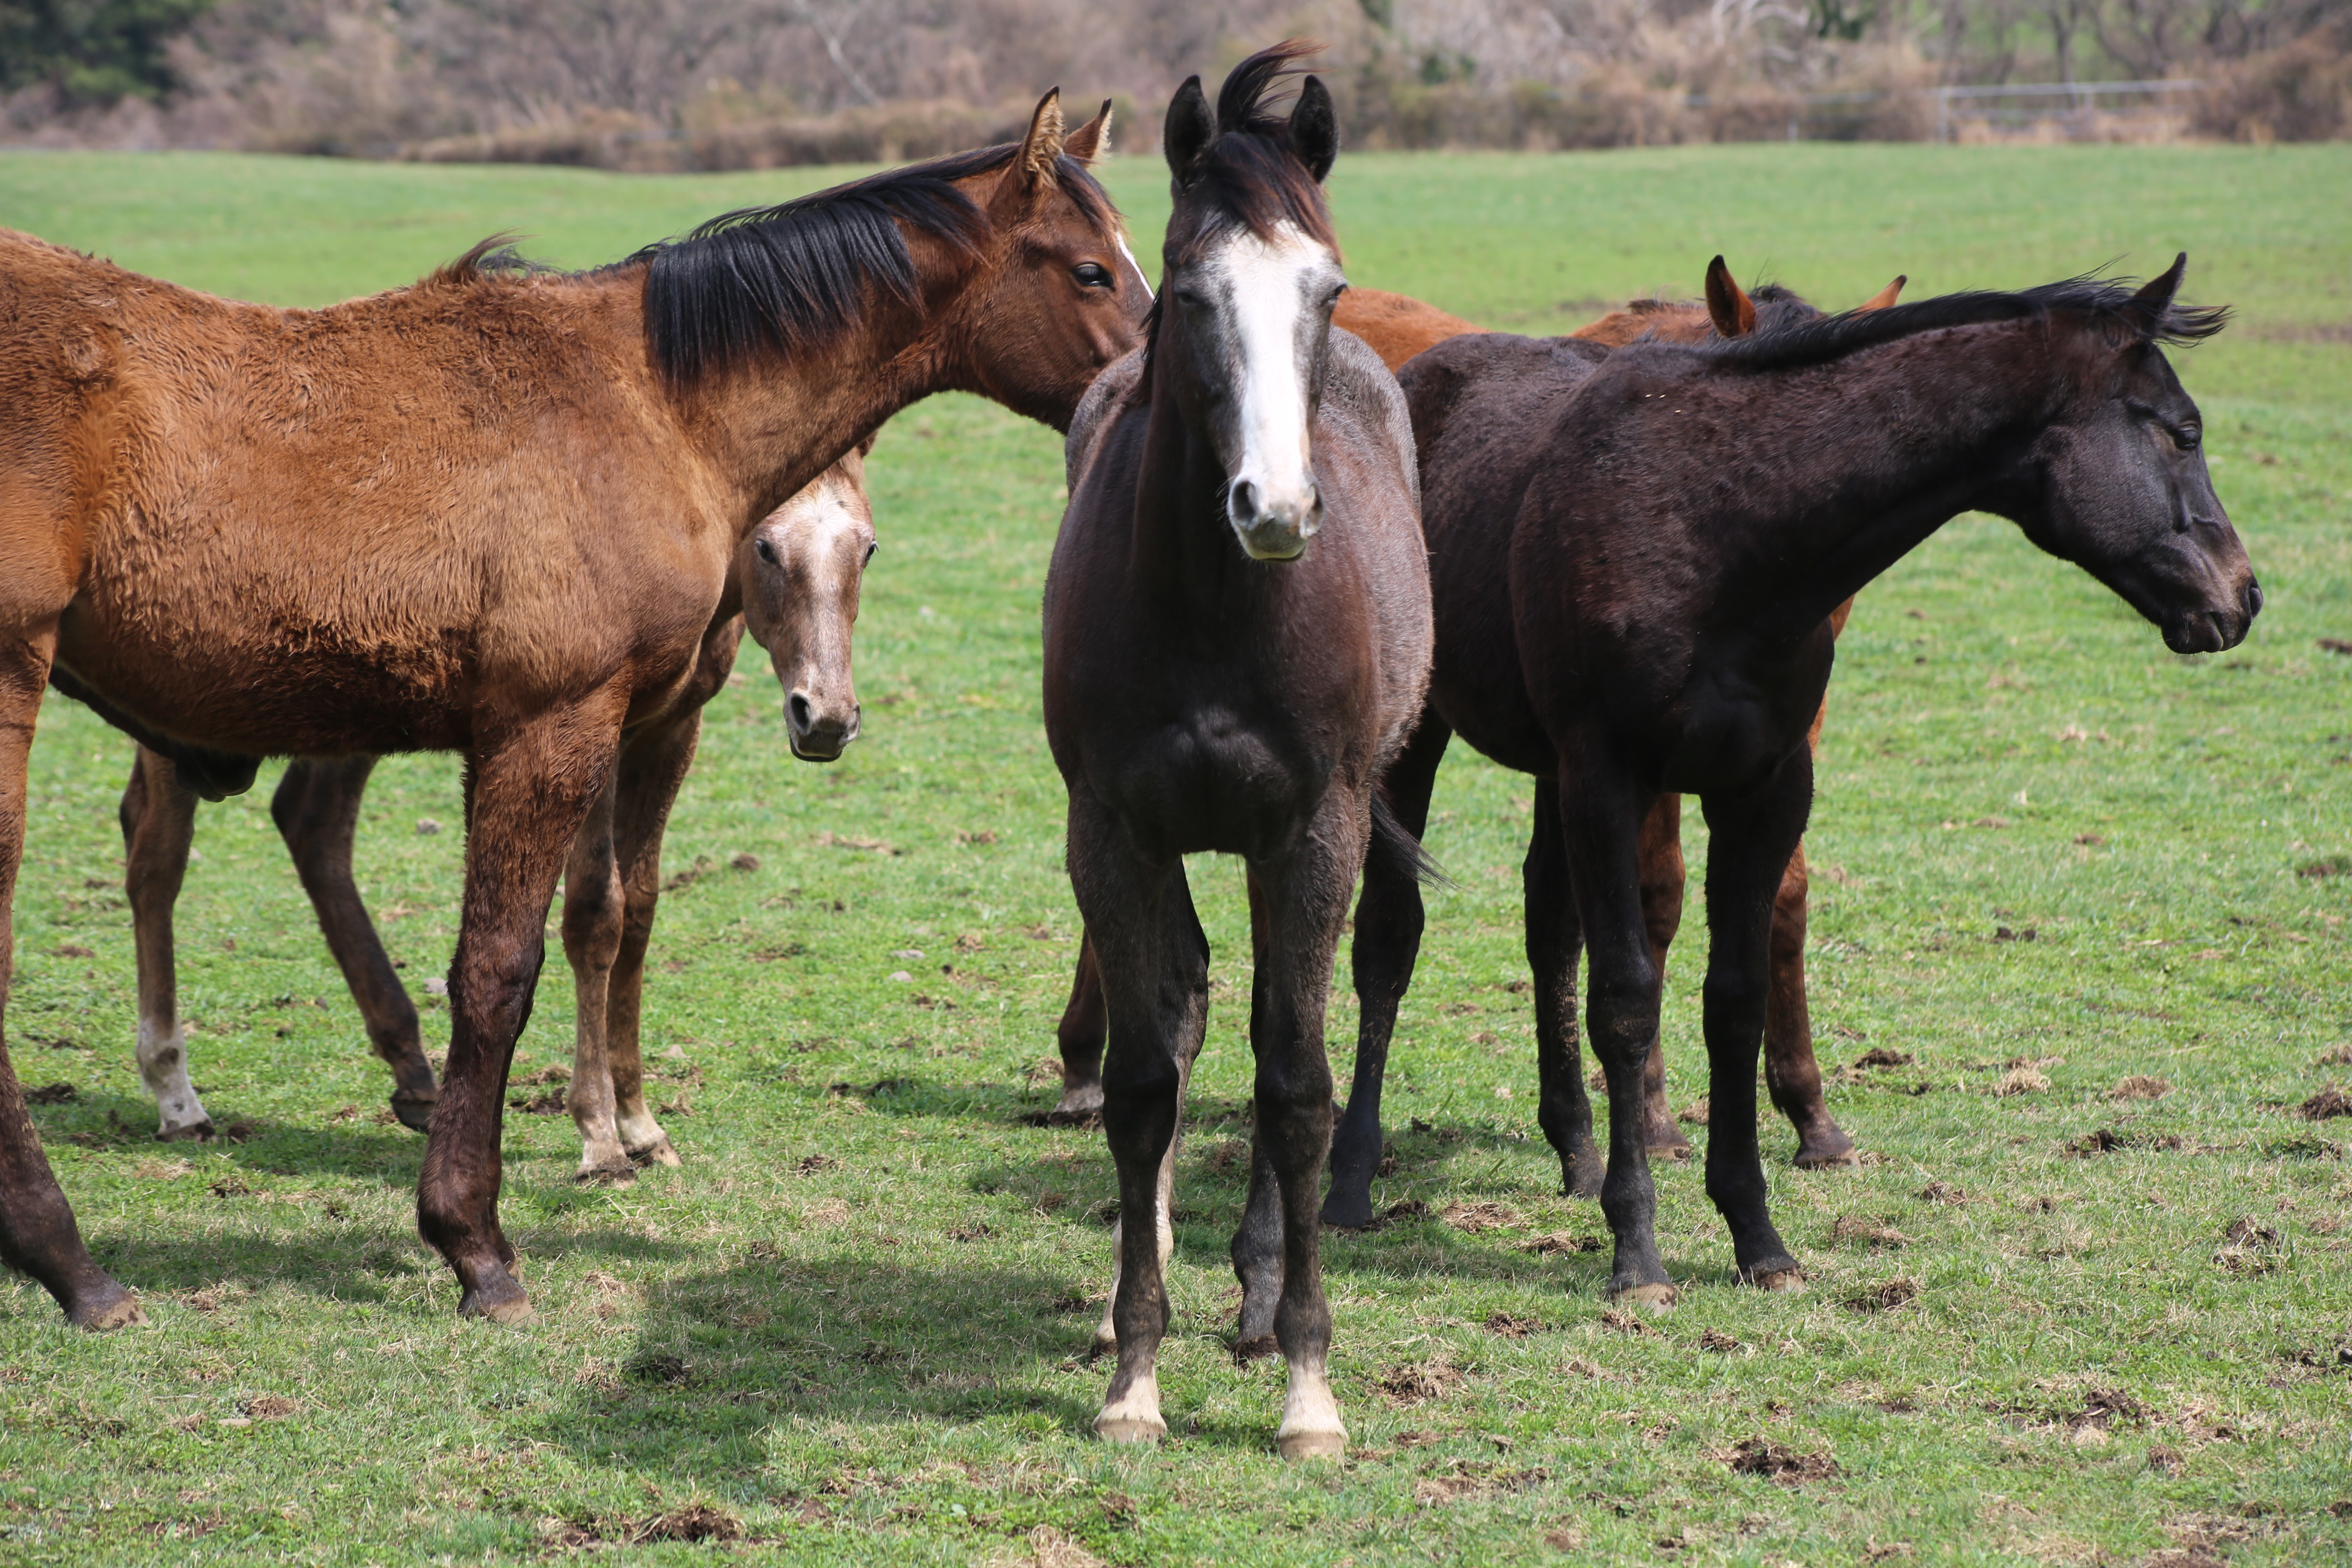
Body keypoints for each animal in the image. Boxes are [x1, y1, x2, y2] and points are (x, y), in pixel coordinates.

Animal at [112, 446, 884, 1185]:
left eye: (868, 548)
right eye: (766, 548)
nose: (825, 718)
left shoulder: (674, 728)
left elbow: (639, 908)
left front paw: (640, 1121)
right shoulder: (588, 723)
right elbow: (594, 915)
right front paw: (599, 1135)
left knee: (309, 819)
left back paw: (413, 1070)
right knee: (157, 850)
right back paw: (176, 1093)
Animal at [1049, 46, 1430, 1457]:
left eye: (1323, 286)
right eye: (1193, 288)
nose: (1276, 507)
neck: (1217, 606)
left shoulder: (1311, 832)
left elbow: (1298, 1086)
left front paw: (1310, 1386)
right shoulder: (1114, 832)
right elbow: (1148, 1078)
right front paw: (1133, 1373)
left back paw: (1263, 1294)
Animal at [1345, 261, 2258, 1316]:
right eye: (2181, 429)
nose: (2240, 596)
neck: (1723, 528)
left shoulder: (1764, 785)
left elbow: (1732, 996)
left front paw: (1756, 1233)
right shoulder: (1612, 776)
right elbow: (1628, 996)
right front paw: (1638, 1252)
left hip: (1547, 771)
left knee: (1546, 927)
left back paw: (1573, 1150)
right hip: (1421, 740)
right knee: (1390, 936)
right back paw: (1347, 1173)